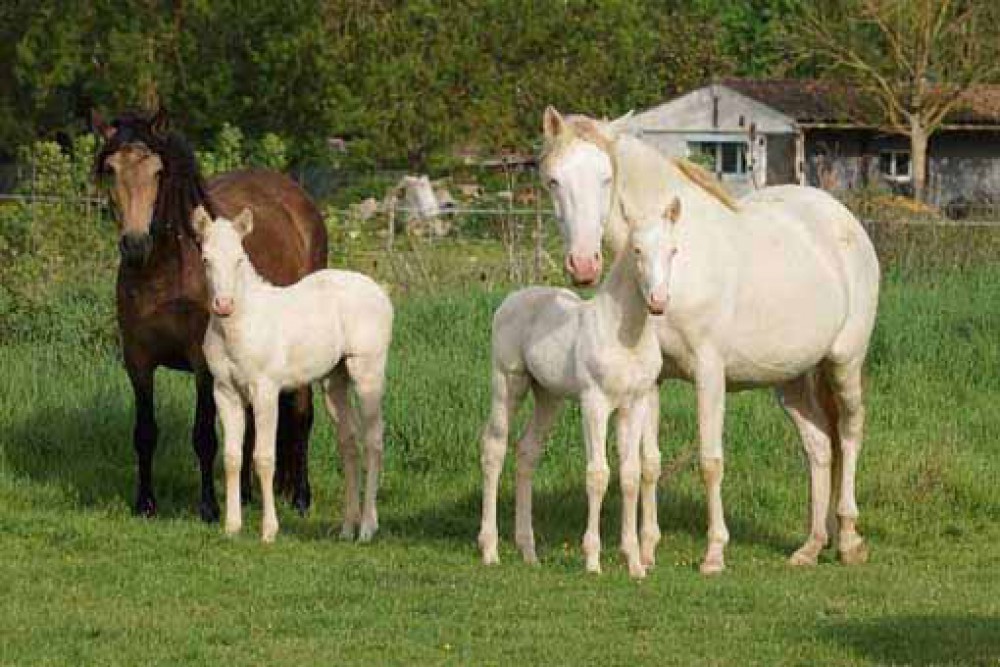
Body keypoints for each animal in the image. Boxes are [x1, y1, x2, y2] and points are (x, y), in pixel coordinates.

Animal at [93, 111, 328, 520]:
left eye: (158, 171)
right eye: (110, 169)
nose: (135, 244)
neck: (163, 274)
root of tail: (299, 201)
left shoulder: (202, 364)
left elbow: (203, 435)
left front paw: (208, 507)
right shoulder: (137, 361)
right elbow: (144, 432)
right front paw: (145, 503)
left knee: (300, 413)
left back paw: (300, 496)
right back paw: (248, 494)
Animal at [193, 207, 392, 544]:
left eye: (240, 259)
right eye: (205, 259)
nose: (223, 305)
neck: (238, 327)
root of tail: (381, 293)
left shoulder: (265, 390)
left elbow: (263, 457)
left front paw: (268, 530)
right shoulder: (225, 391)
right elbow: (232, 458)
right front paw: (232, 527)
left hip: (367, 373)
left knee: (373, 440)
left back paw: (367, 527)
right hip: (334, 381)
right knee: (349, 442)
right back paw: (347, 528)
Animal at [478, 200, 680, 580]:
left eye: (674, 250)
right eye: (637, 250)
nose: (659, 301)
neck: (626, 335)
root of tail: (513, 298)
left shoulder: (634, 404)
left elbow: (629, 475)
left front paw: (634, 563)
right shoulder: (594, 402)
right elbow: (598, 474)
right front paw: (592, 560)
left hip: (548, 396)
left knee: (527, 451)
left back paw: (529, 551)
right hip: (508, 382)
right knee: (494, 448)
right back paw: (490, 549)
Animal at [536, 108, 880, 576]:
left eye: (606, 178)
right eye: (553, 180)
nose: (584, 265)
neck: (676, 260)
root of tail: (844, 221)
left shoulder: (709, 371)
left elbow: (710, 461)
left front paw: (714, 553)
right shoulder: (652, 382)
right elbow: (650, 464)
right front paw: (647, 550)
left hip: (844, 362)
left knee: (849, 433)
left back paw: (847, 539)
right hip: (791, 379)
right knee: (820, 446)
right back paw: (811, 546)